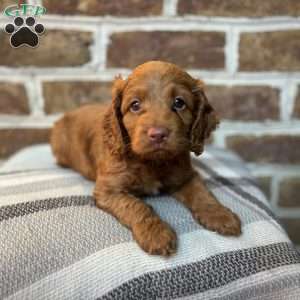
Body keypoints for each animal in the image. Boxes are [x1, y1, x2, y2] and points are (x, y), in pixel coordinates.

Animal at [51, 61, 241, 255]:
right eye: (135, 105)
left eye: (179, 102)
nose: (158, 134)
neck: (151, 161)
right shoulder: (108, 189)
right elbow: (136, 206)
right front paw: (156, 234)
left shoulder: (186, 175)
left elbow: (202, 193)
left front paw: (221, 215)